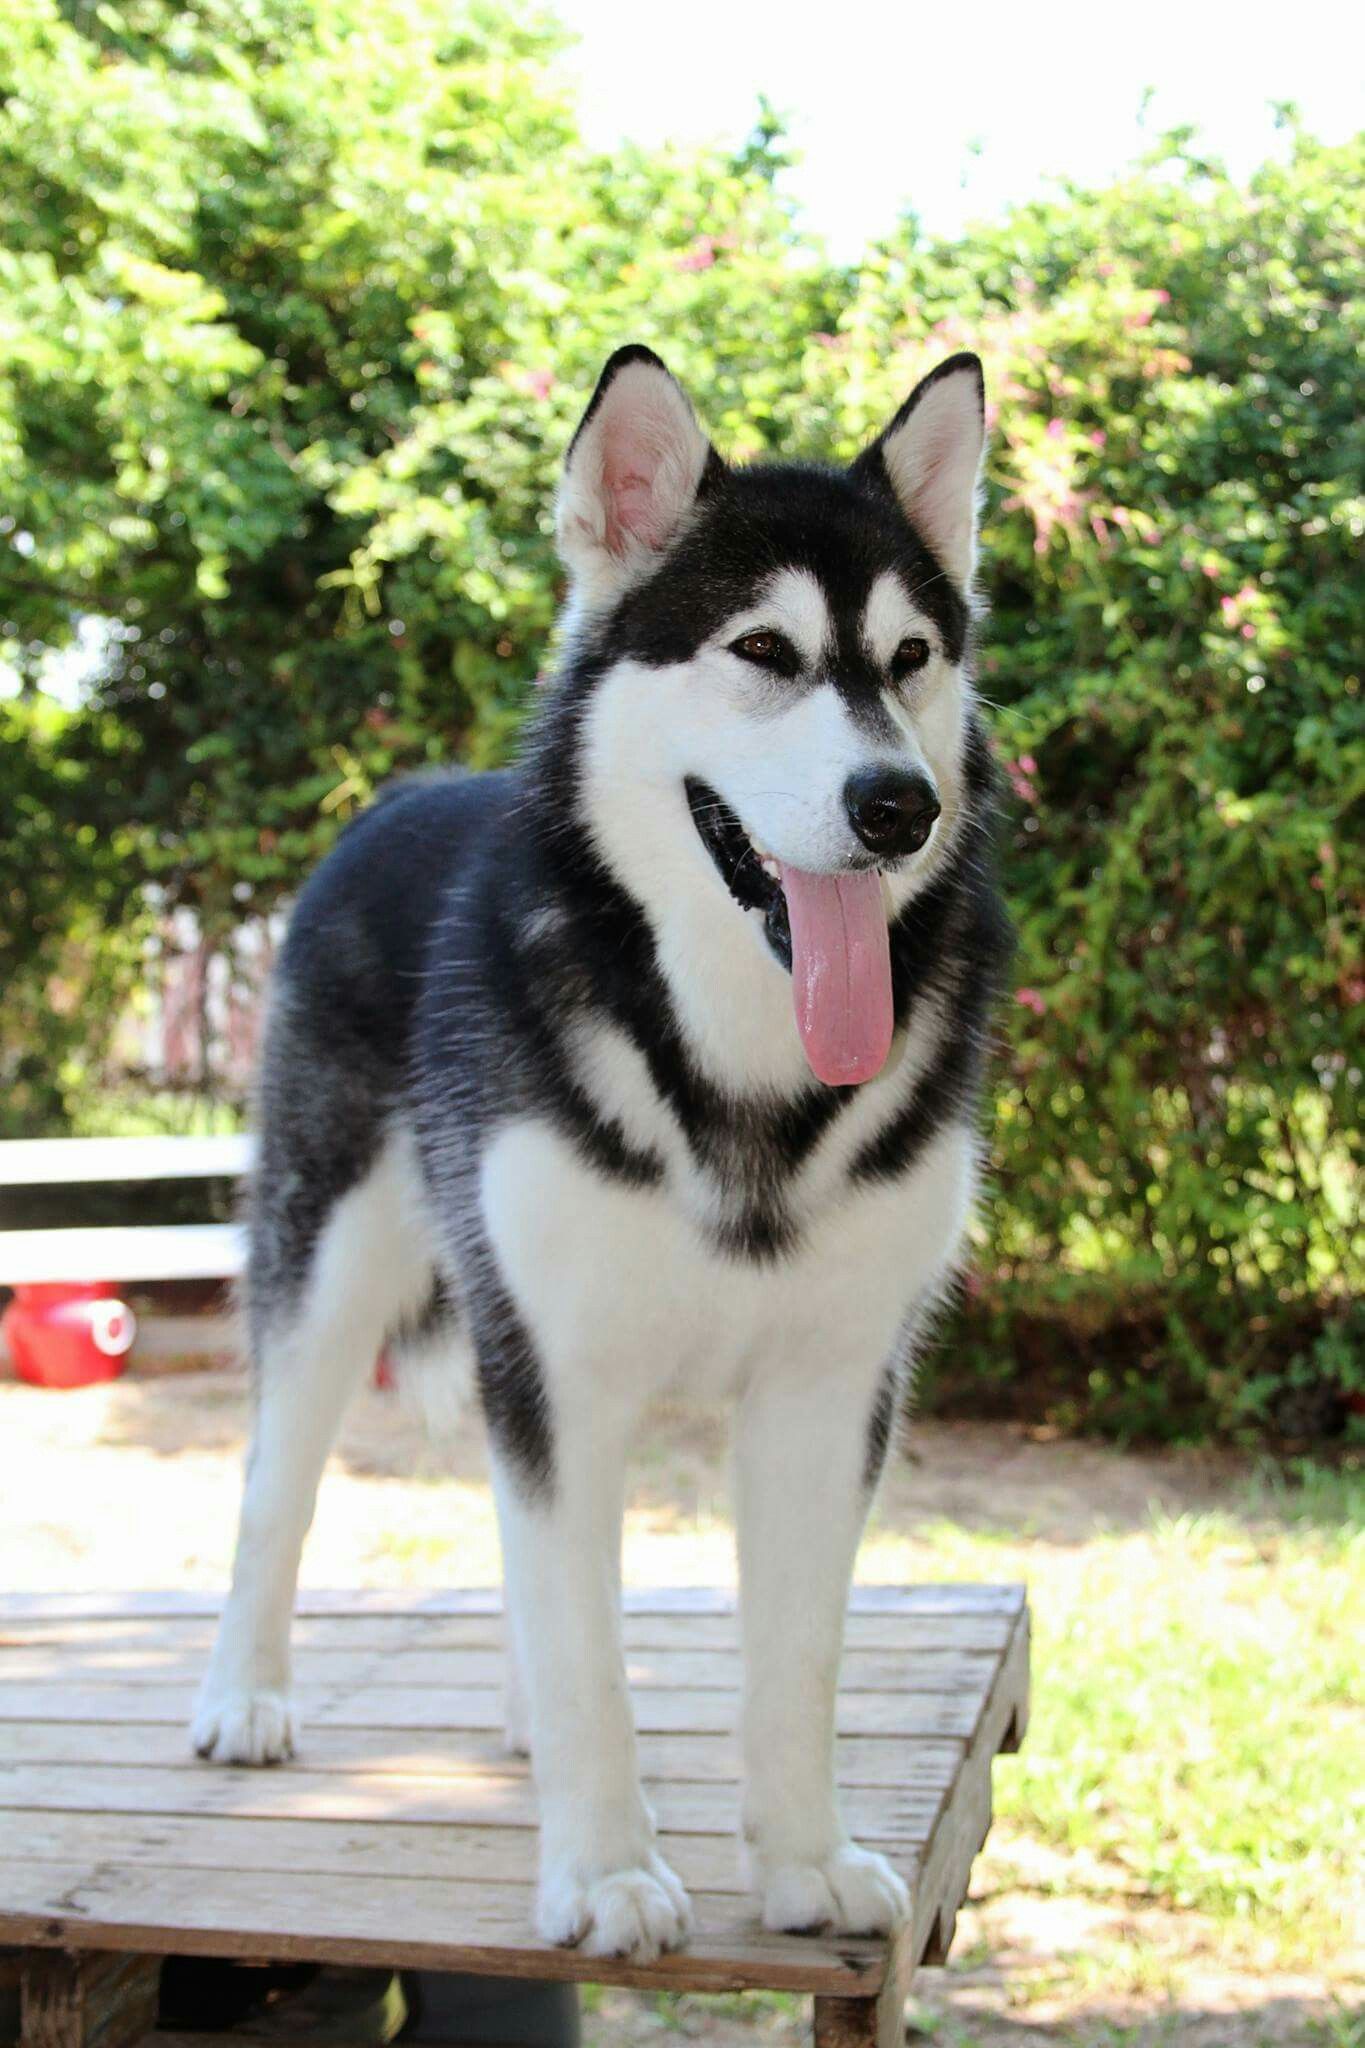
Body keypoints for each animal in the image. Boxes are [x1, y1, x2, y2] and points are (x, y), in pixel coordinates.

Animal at [197, 344, 1019, 1957]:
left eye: (909, 658)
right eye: (764, 650)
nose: (898, 804)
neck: (738, 1051)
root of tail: (402, 791)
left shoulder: (831, 1388)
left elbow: (795, 1658)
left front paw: (802, 1858)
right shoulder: (557, 1368)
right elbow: (588, 1652)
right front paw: (605, 1872)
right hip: (331, 1270)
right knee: (278, 1487)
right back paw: (244, 1696)